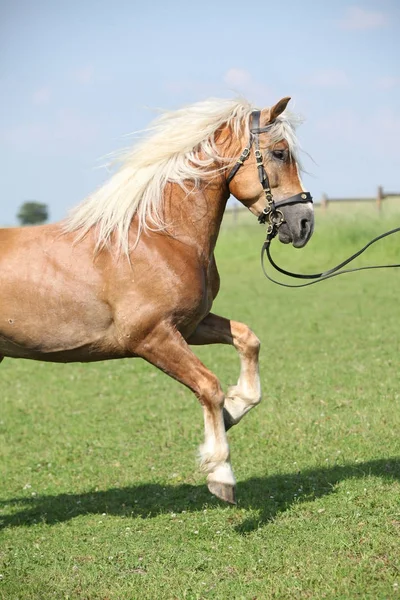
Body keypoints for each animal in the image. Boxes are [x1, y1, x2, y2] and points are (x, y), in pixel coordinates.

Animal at [0, 96, 314, 504]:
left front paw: (235, 407)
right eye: (279, 152)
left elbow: (248, 339)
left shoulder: (190, 325)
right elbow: (208, 386)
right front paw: (221, 473)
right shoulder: (151, 337)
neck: (159, 237)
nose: (305, 223)